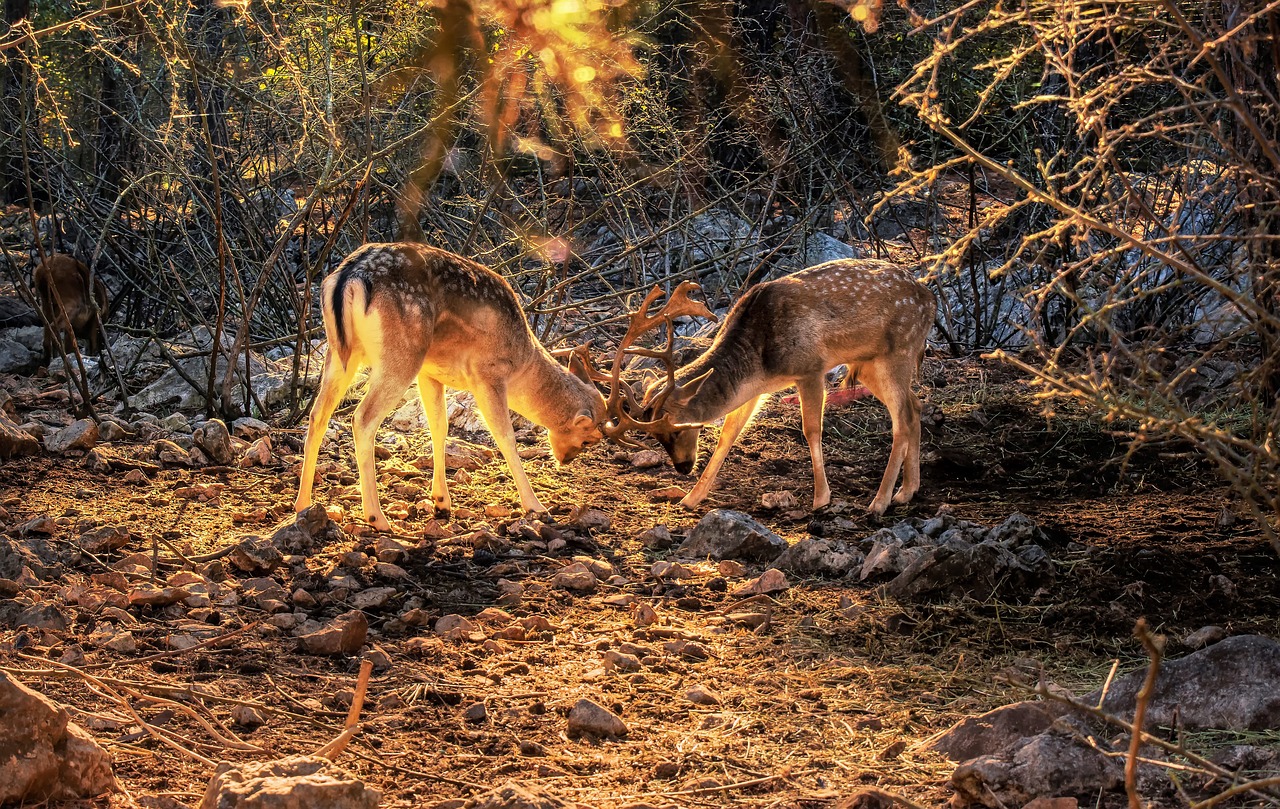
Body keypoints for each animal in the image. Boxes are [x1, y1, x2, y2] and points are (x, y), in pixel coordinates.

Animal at [294, 241, 604, 529]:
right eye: (588, 439)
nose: (565, 460)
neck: (521, 362)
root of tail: (350, 276)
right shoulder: (487, 373)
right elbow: (505, 436)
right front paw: (536, 506)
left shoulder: (431, 373)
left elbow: (439, 426)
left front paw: (441, 501)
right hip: (401, 355)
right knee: (362, 418)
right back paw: (376, 517)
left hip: (340, 353)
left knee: (317, 415)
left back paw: (303, 504)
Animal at [604, 261, 936, 517]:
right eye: (655, 437)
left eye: (676, 429)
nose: (683, 467)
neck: (760, 361)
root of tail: (930, 299)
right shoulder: (756, 389)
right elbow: (728, 434)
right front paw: (691, 498)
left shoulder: (810, 368)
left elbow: (811, 430)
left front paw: (821, 499)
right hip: (869, 364)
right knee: (915, 406)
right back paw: (907, 491)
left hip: (899, 350)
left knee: (902, 420)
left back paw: (879, 502)